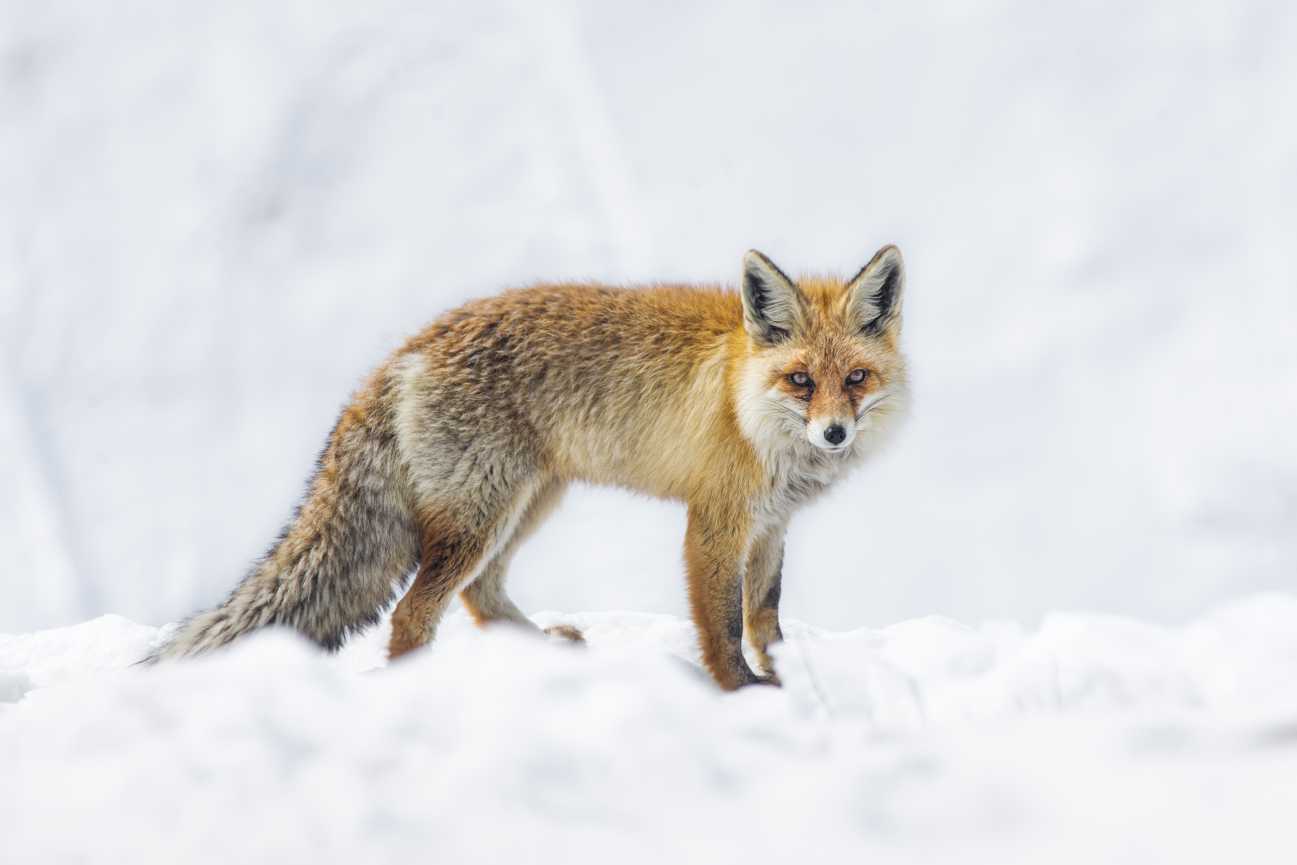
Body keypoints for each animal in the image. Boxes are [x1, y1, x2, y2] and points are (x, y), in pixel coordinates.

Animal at [150, 245, 909, 689]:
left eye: (856, 378)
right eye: (801, 381)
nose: (835, 433)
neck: (744, 401)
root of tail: (406, 351)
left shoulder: (772, 527)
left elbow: (765, 616)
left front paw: (789, 679)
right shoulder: (715, 525)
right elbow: (722, 627)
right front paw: (744, 693)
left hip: (528, 500)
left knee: (481, 597)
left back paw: (546, 651)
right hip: (482, 514)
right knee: (413, 615)